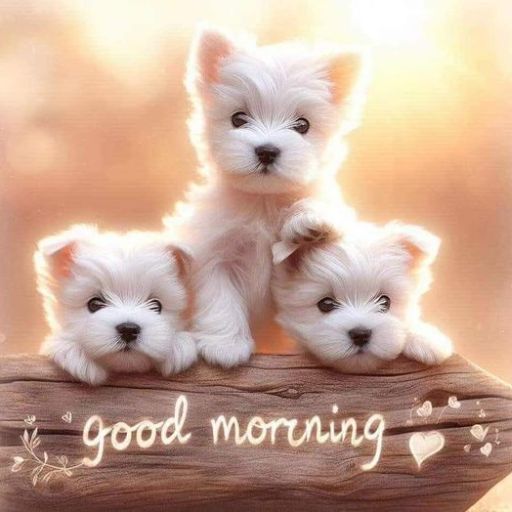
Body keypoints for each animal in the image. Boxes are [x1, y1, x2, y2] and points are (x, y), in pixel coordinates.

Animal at [166, 26, 370, 366]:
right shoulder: (213, 253)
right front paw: (226, 345)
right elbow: (220, 297)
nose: (266, 151)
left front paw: (308, 222)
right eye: (238, 118)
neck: (264, 201)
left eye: (302, 125)